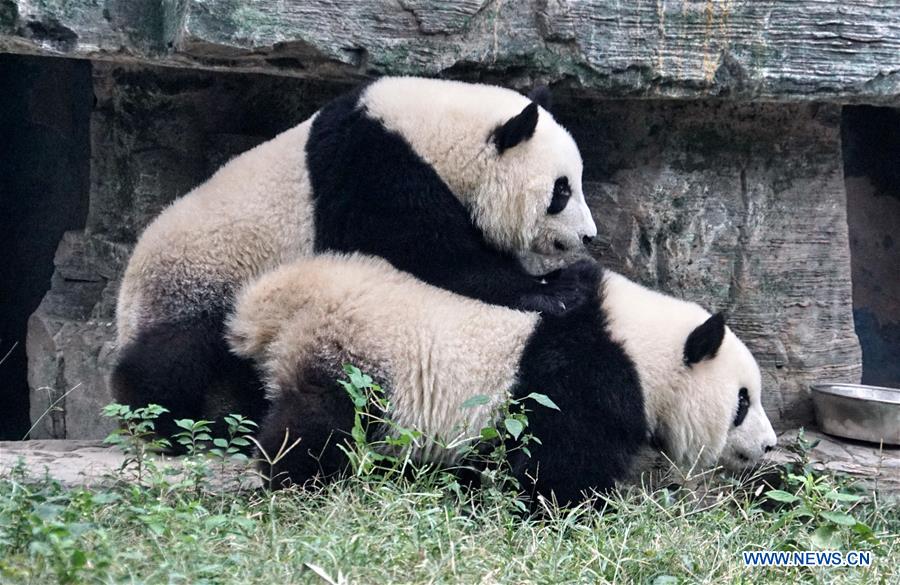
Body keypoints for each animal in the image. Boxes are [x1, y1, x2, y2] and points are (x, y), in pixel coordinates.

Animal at [114, 77, 604, 436]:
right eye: (562, 190)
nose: (589, 235)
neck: (436, 135)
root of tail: (126, 289)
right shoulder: (373, 170)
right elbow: (432, 256)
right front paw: (557, 289)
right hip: (201, 275)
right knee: (175, 354)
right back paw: (160, 419)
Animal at [227, 253, 780, 504]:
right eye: (742, 402)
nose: (770, 445)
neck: (643, 348)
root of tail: (284, 301)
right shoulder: (584, 379)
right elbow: (559, 464)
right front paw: (574, 508)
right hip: (357, 365)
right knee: (316, 428)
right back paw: (293, 481)